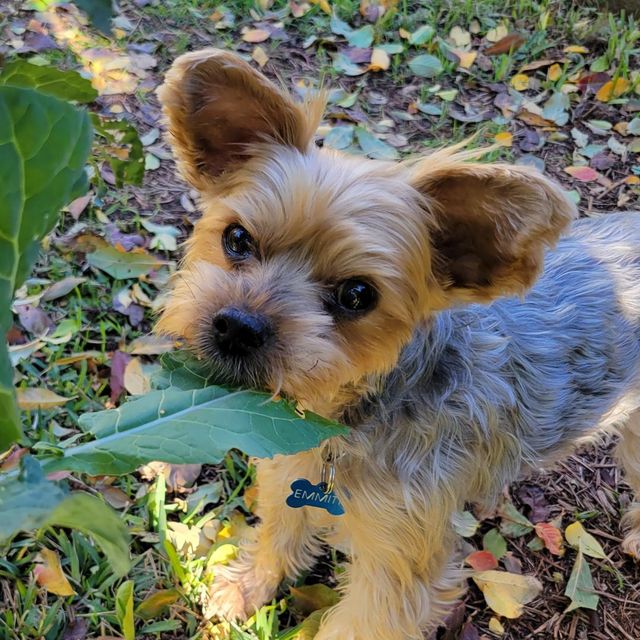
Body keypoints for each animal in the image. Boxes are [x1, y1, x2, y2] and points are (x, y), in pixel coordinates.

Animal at [155, 51, 640, 640]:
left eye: (357, 294)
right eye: (237, 238)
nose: (237, 326)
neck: (341, 419)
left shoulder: (399, 567)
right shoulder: (285, 469)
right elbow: (279, 532)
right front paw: (249, 587)